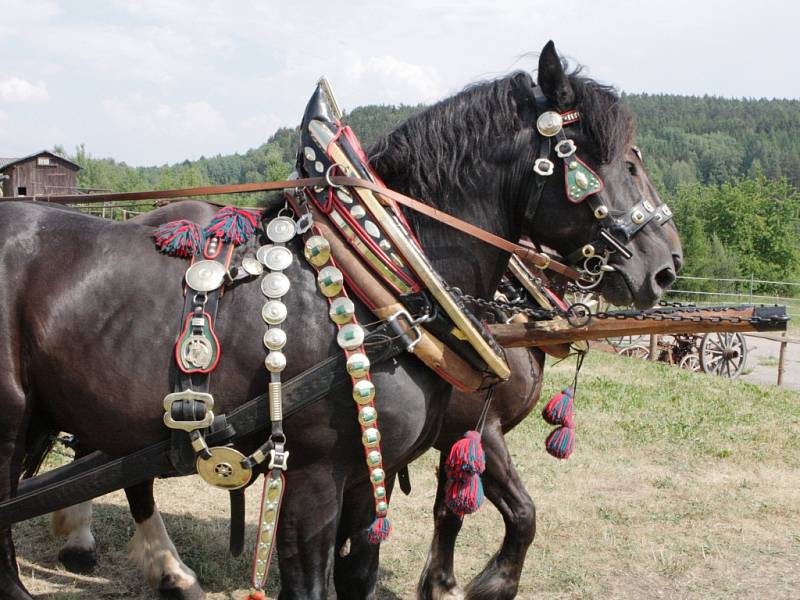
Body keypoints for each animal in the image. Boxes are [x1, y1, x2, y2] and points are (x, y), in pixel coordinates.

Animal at [6, 42, 680, 600]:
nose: (666, 267)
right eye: (622, 162)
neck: (378, 291)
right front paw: (481, 585)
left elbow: (373, 565)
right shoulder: (315, 475)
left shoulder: (367, 476)